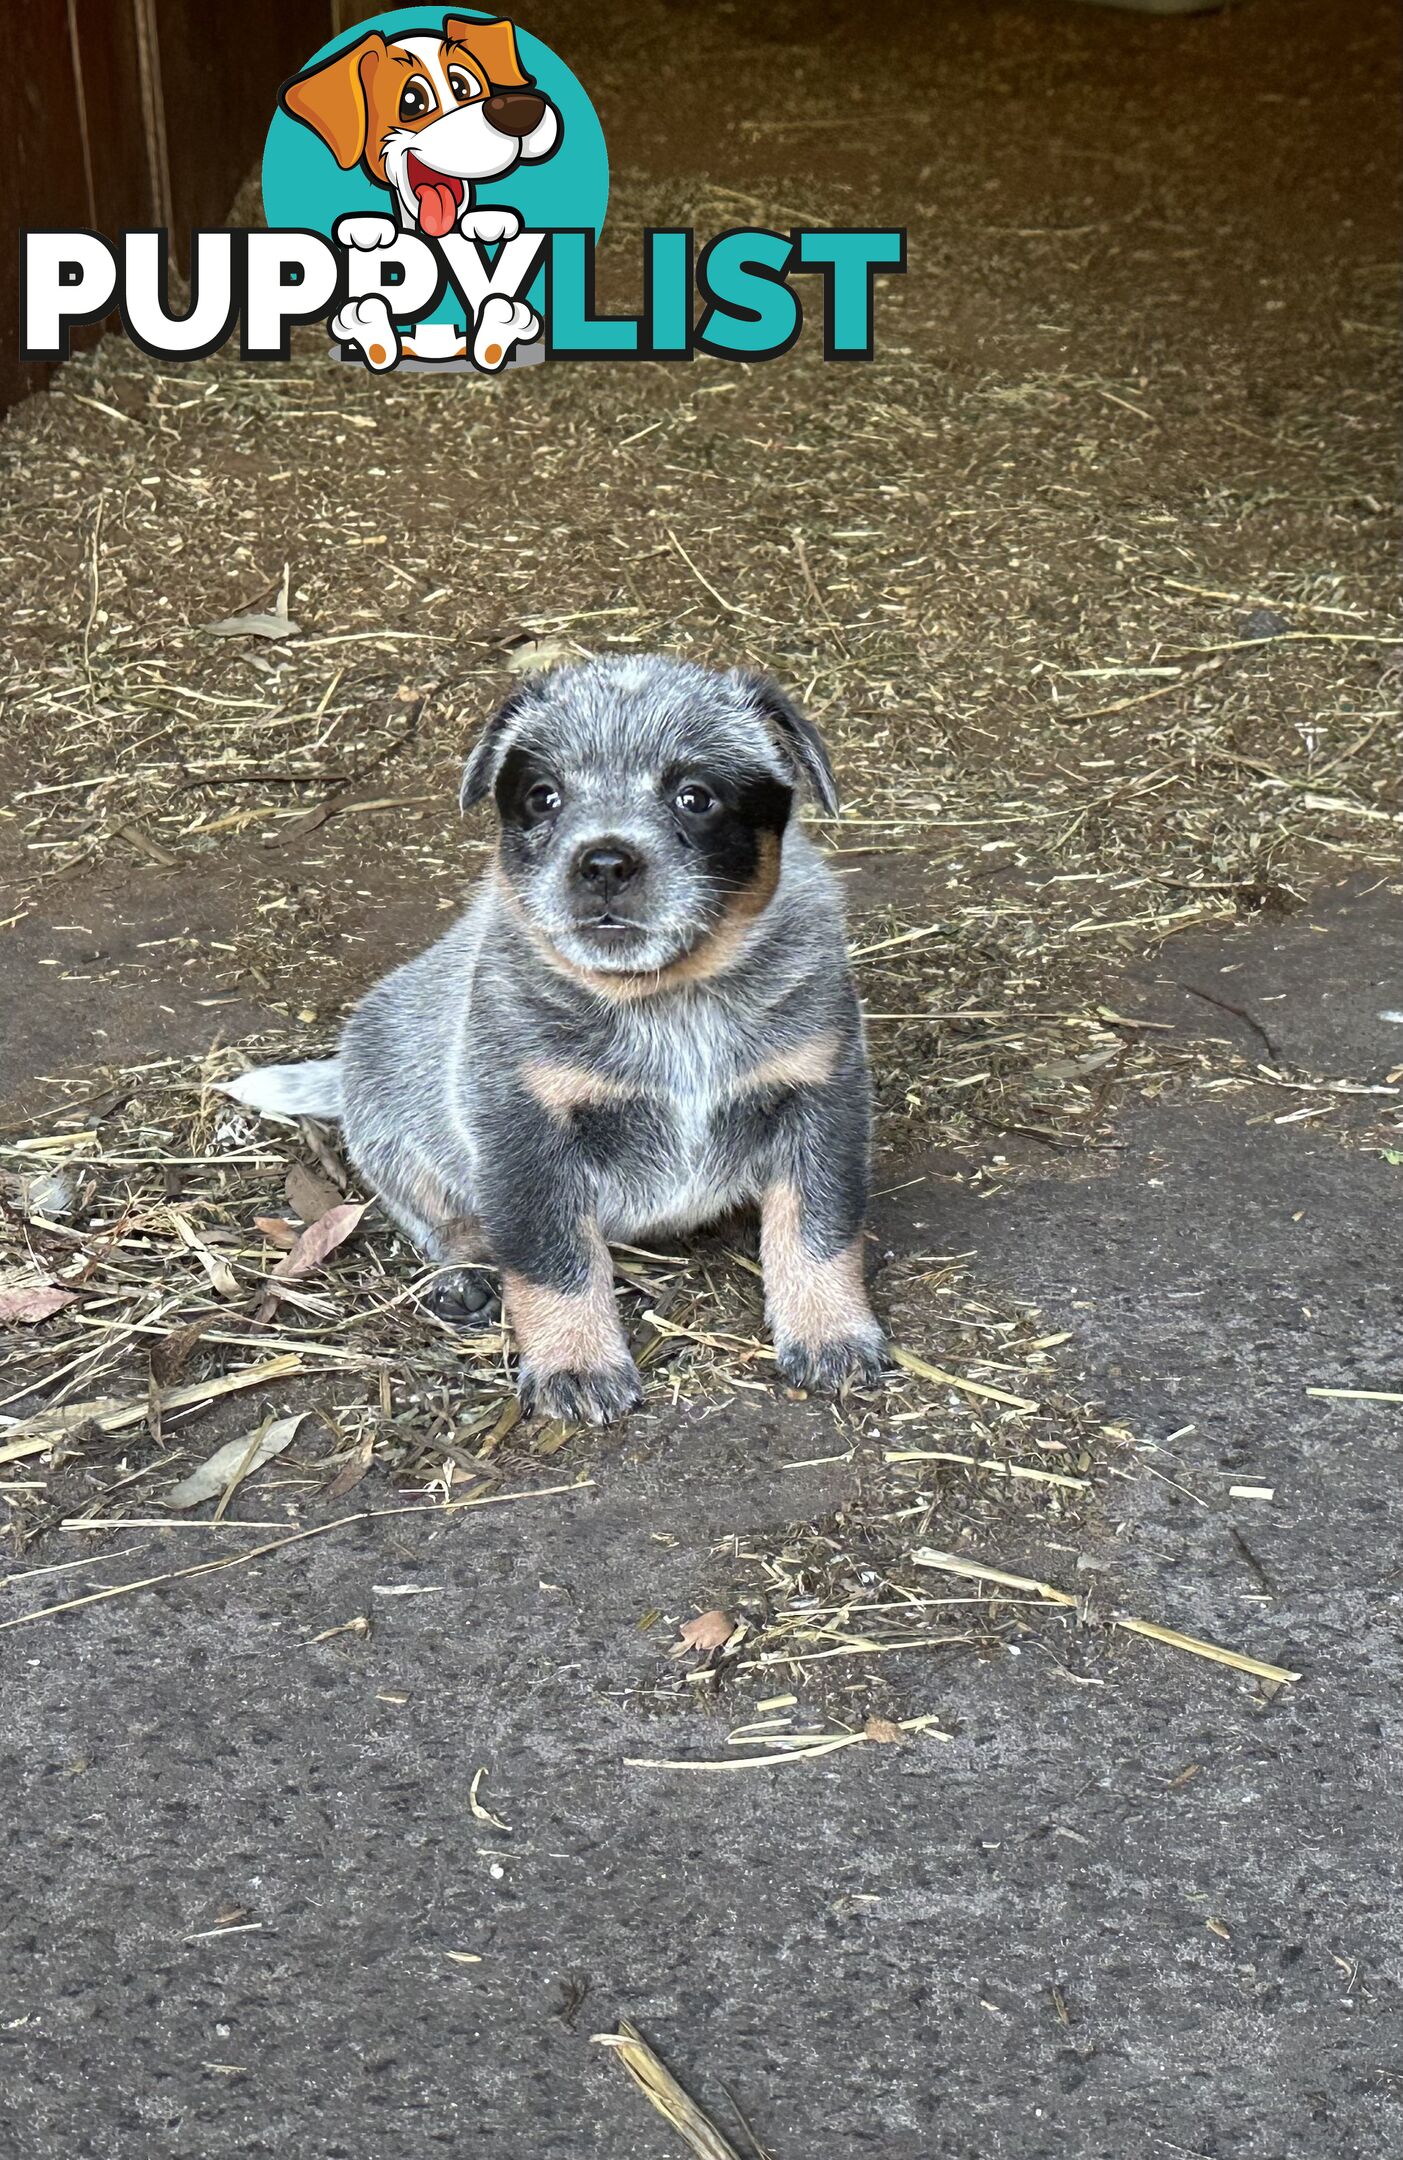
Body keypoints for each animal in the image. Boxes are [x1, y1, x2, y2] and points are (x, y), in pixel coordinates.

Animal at [229, 648, 884, 1425]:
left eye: (695, 796)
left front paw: (830, 1333)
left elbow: (818, 1232)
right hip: (391, 1124)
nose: (603, 861)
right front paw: (576, 1365)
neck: (668, 1002)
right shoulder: (523, 1126)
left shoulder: (821, 1095)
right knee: (436, 1215)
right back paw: (465, 1273)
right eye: (544, 797)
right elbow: (551, 1261)